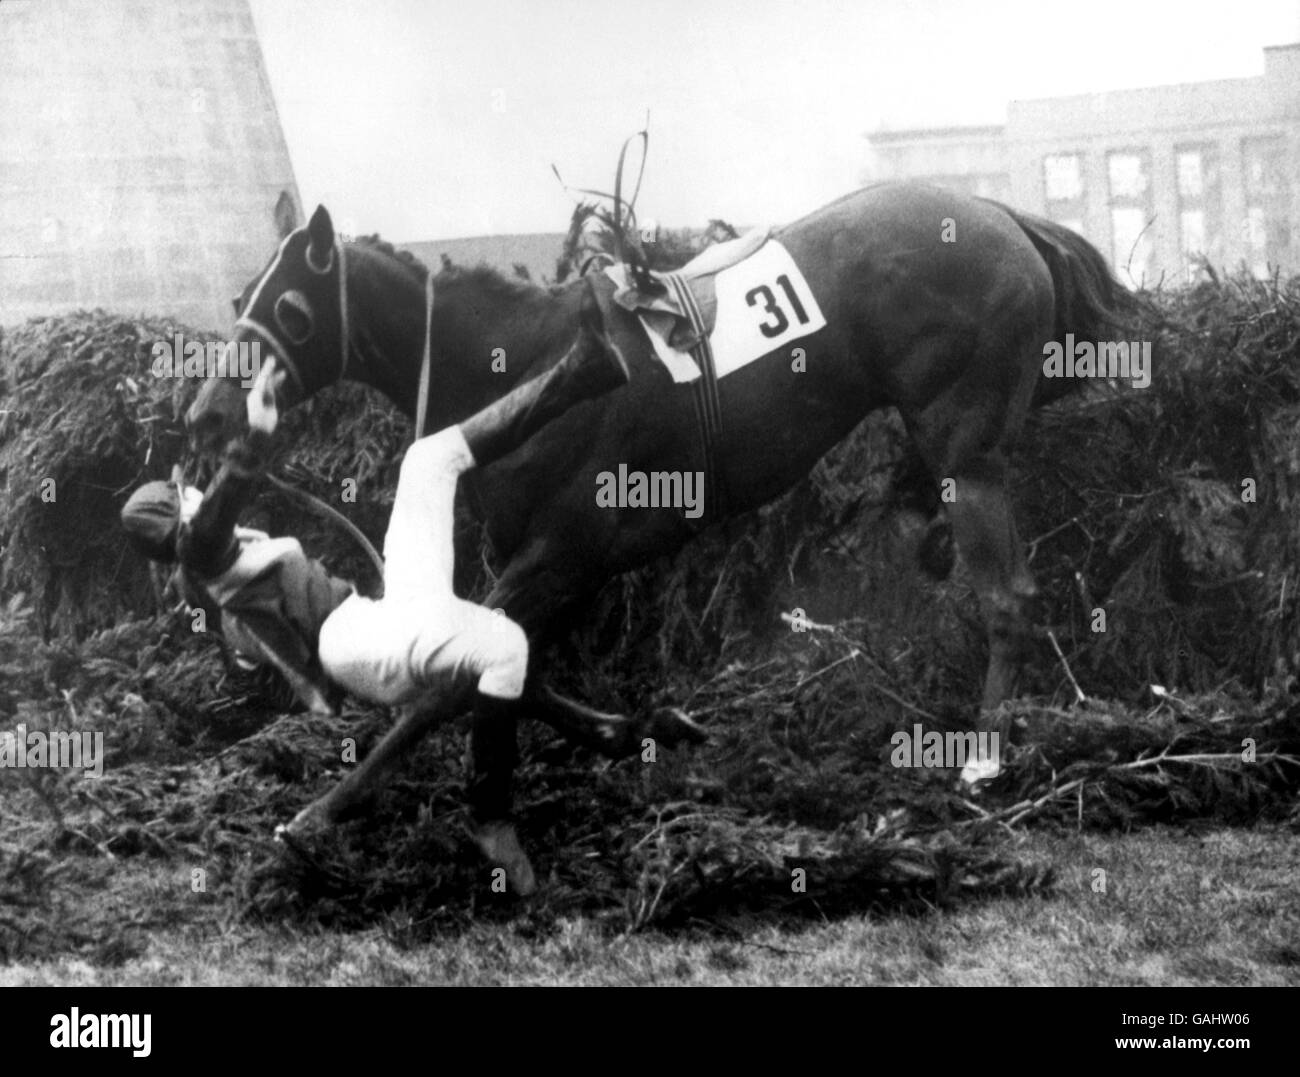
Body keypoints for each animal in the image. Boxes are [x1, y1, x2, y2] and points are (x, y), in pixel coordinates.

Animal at [188, 180, 1133, 863]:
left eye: (290, 310)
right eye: (238, 297)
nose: (204, 415)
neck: (519, 362)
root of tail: (1000, 213)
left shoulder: (561, 553)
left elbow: (449, 684)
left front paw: (323, 809)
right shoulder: (556, 562)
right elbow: (521, 671)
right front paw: (637, 727)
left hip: (966, 452)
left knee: (1008, 597)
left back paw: (982, 757)